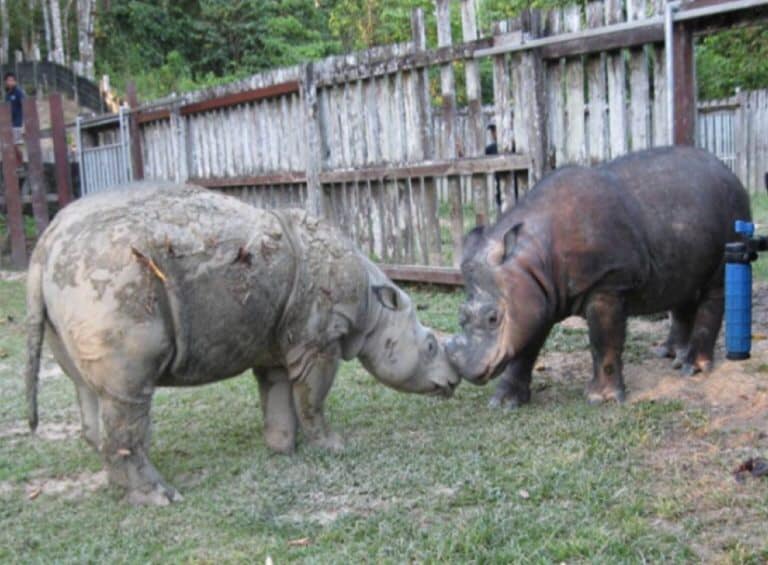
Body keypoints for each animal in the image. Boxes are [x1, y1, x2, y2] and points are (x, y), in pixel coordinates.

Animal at [26, 182, 459, 505]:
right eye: (431, 346)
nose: (454, 381)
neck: (374, 306)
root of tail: (44, 245)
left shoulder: (277, 340)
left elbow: (279, 393)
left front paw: (283, 450)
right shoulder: (318, 340)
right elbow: (313, 398)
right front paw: (334, 446)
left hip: (77, 281)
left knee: (90, 388)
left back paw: (122, 488)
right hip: (112, 278)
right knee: (129, 392)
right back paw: (162, 497)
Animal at [446, 146, 750, 407]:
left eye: (493, 318)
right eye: (460, 317)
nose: (470, 372)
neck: (532, 255)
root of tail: (729, 171)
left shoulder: (608, 281)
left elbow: (604, 340)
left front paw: (601, 399)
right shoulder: (533, 291)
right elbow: (524, 345)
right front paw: (503, 403)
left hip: (732, 209)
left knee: (717, 282)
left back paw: (693, 368)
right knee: (682, 282)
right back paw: (671, 355)